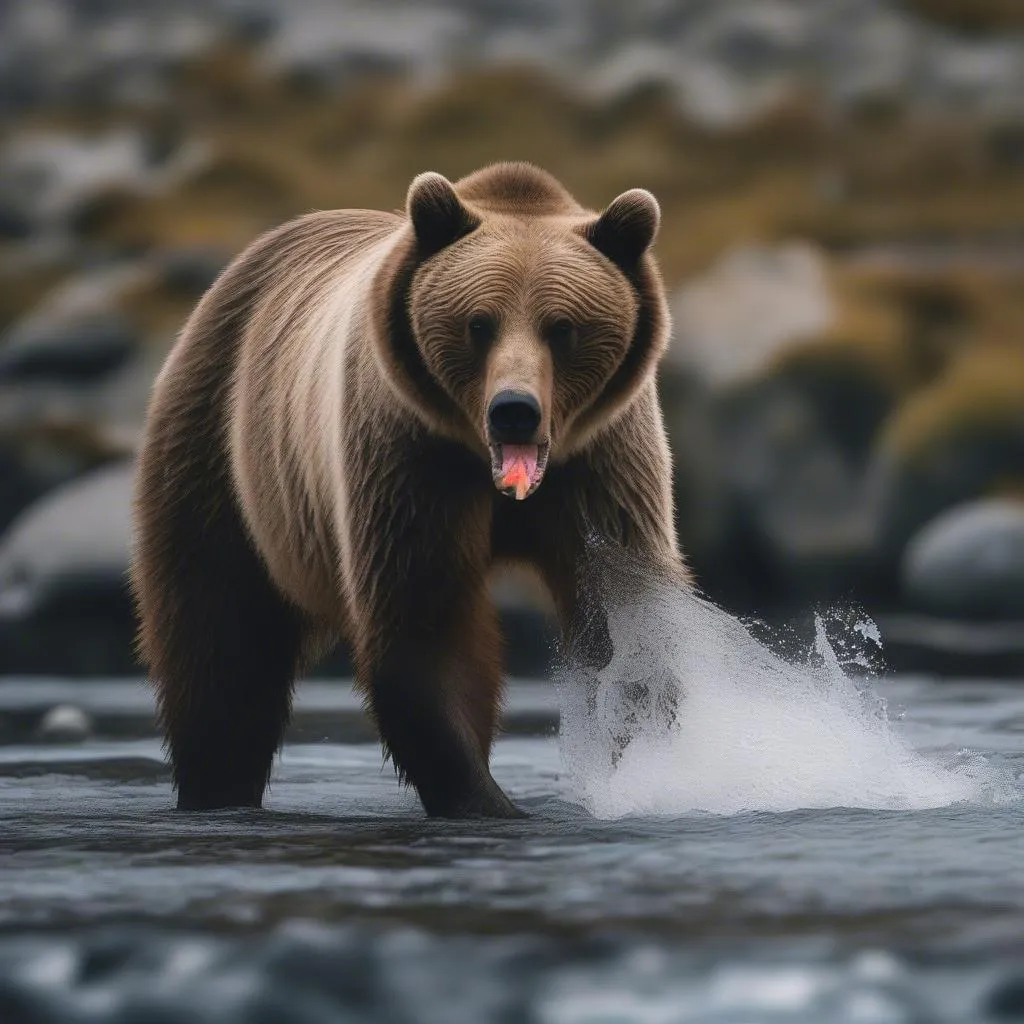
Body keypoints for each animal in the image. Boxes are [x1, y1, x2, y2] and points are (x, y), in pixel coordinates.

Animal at [130, 161, 688, 815]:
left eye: (562, 327)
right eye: (479, 323)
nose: (514, 411)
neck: (498, 479)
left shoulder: (603, 467)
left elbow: (624, 617)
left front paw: (640, 768)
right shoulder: (410, 459)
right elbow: (425, 622)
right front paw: (485, 797)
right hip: (223, 454)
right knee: (219, 638)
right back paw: (216, 786)